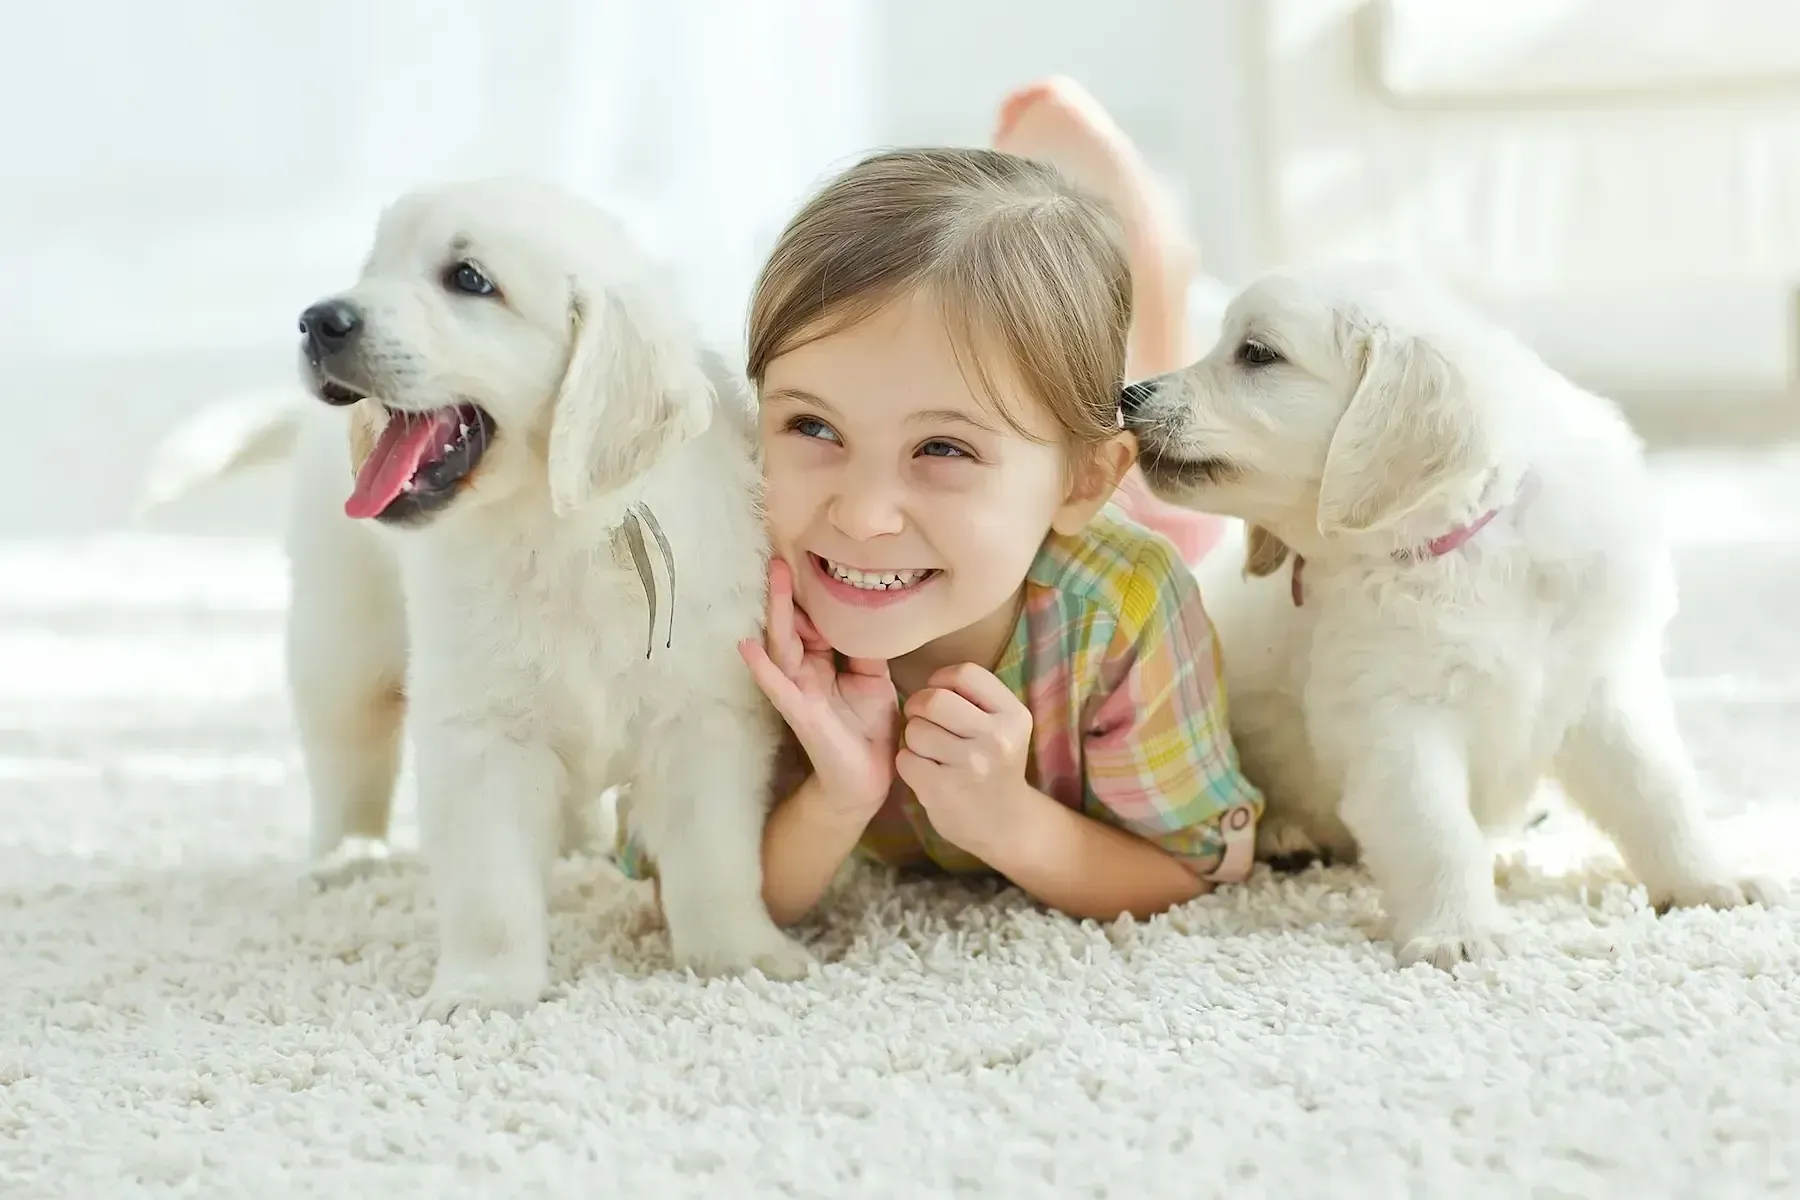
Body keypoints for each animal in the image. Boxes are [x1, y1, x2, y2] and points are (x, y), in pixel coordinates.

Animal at [186, 178, 813, 1014]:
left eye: (469, 280)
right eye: (373, 266)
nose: (318, 320)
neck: (560, 530)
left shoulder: (707, 713)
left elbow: (715, 858)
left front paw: (741, 957)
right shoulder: (478, 731)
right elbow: (491, 889)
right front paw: (484, 990)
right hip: (340, 630)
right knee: (346, 753)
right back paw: (346, 858)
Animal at [1123, 262, 1785, 964]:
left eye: (1256, 354)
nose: (1129, 394)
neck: (1462, 550)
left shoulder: (1600, 686)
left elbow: (1657, 792)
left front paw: (1709, 881)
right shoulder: (1394, 716)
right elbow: (1435, 831)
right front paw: (1458, 931)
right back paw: (1288, 835)